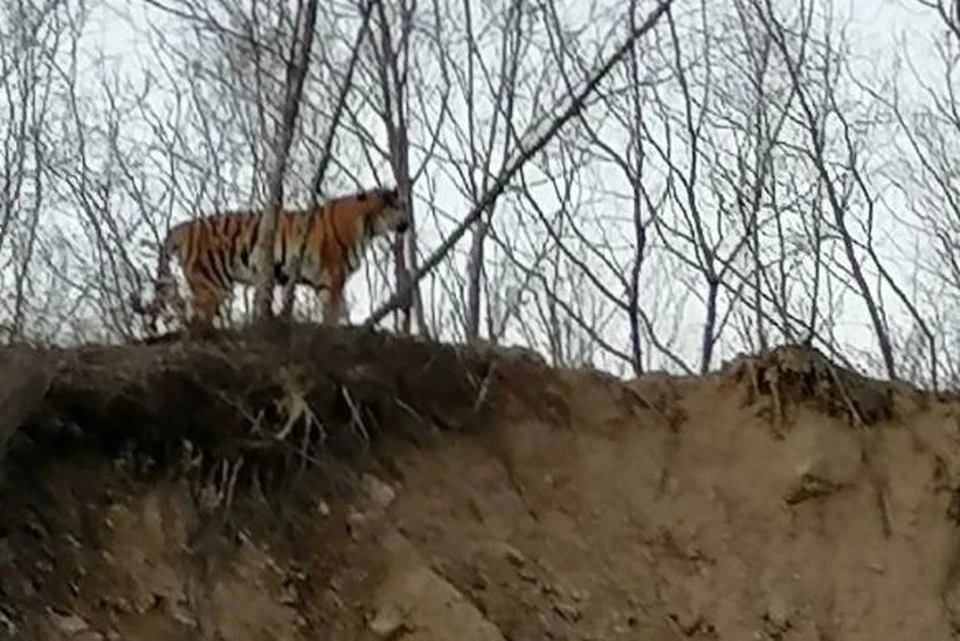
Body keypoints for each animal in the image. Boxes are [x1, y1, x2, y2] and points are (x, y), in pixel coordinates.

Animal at [131, 185, 408, 336]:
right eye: (400, 207)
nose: (407, 223)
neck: (369, 223)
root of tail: (183, 226)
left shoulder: (323, 281)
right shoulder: (334, 275)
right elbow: (333, 310)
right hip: (211, 282)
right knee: (198, 319)